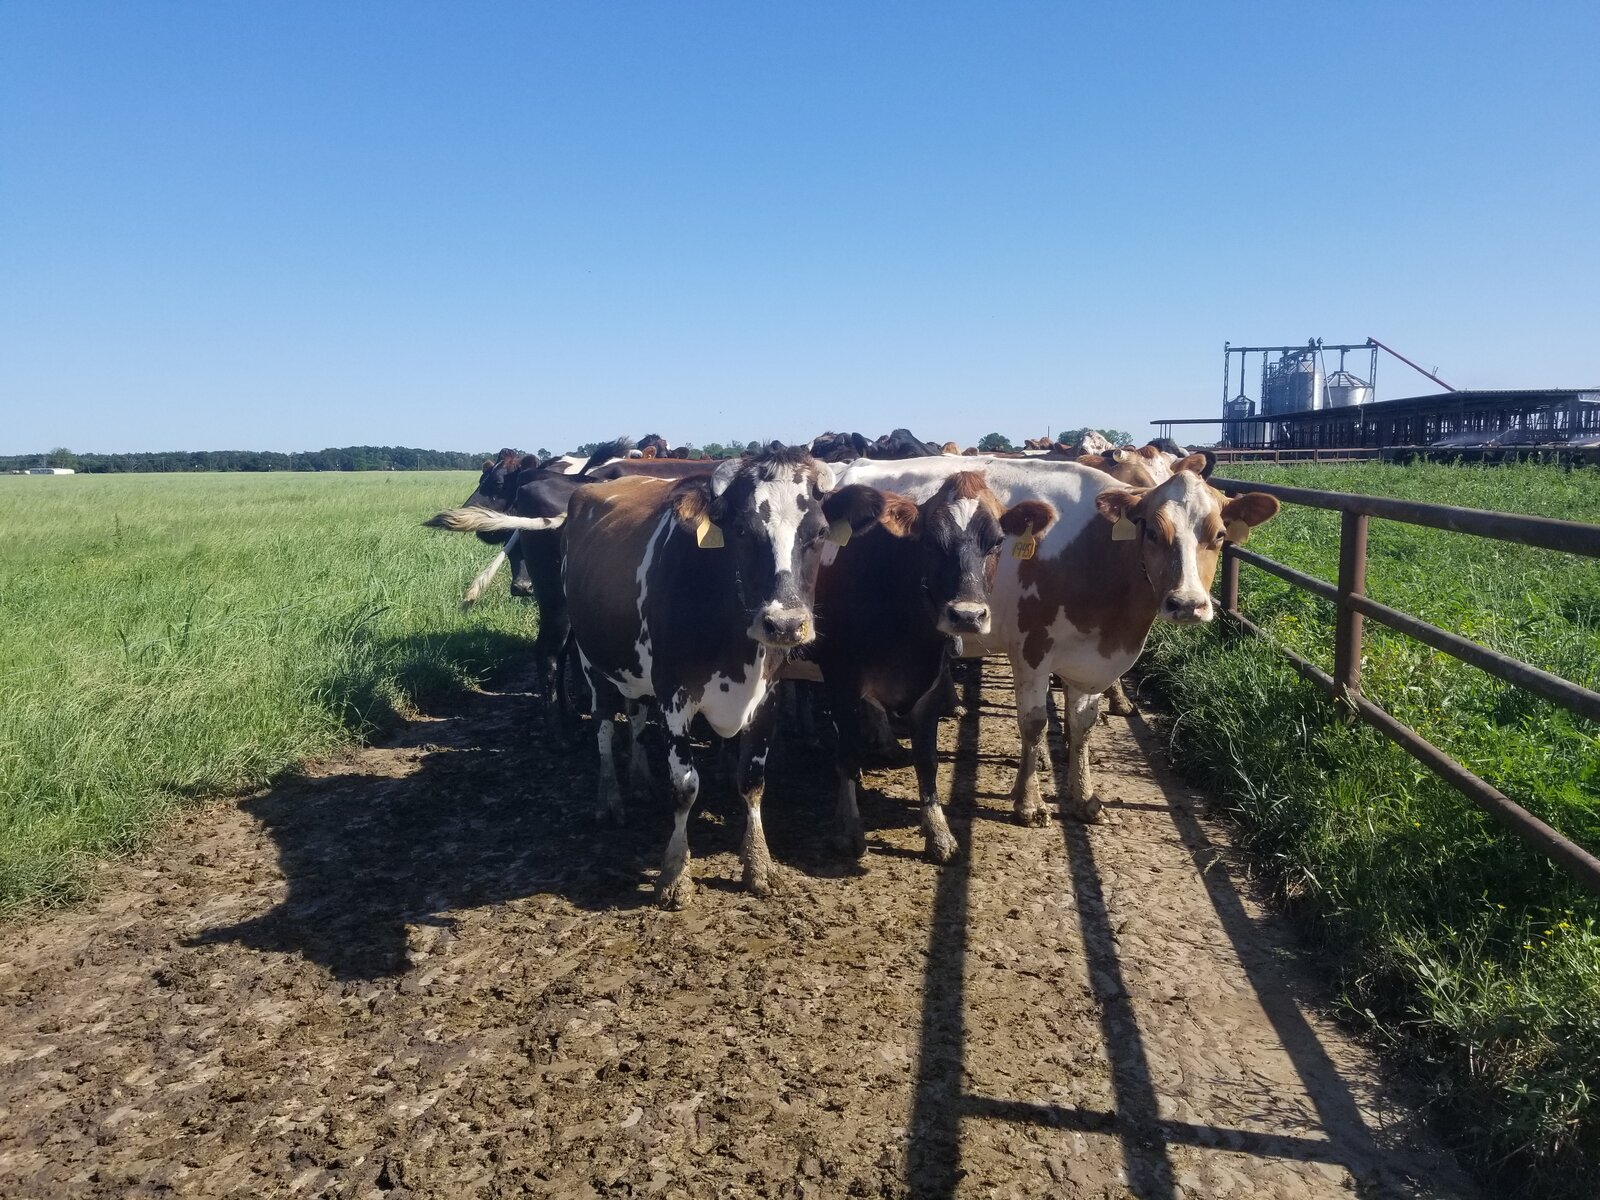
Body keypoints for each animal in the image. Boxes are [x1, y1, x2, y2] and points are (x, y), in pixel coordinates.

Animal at [553, 446, 890, 908]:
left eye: (820, 532)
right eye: (743, 531)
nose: (785, 625)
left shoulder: (767, 694)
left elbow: (752, 779)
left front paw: (759, 864)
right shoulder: (675, 695)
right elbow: (685, 786)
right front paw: (674, 872)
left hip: (636, 673)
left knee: (635, 719)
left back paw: (640, 781)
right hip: (592, 660)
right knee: (604, 727)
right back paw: (611, 799)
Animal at [805, 471, 1056, 864]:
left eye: (997, 542)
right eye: (930, 542)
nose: (967, 615)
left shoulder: (932, 685)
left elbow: (928, 760)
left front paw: (938, 831)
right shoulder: (840, 678)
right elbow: (846, 754)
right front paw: (848, 830)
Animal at [834, 454, 1279, 827]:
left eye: (1219, 535)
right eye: (1152, 531)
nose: (1186, 603)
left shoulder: (1091, 659)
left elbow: (1083, 725)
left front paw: (1084, 798)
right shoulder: (1031, 651)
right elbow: (1034, 723)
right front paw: (1028, 802)